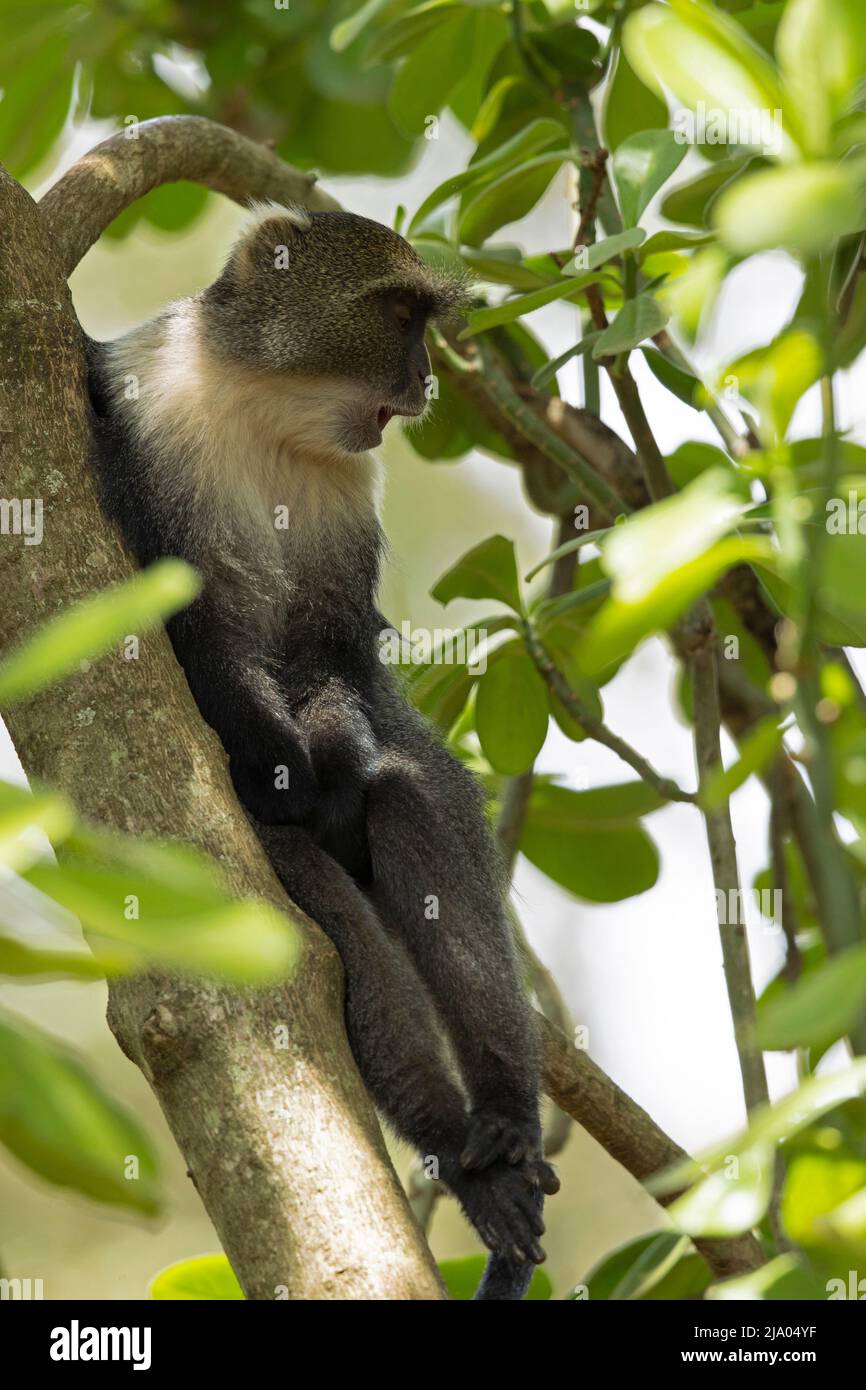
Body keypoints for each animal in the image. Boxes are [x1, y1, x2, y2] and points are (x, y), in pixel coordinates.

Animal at [84, 203, 559, 1300]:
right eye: (397, 316)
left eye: (425, 324)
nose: (426, 381)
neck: (263, 407)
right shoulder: (139, 426)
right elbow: (193, 630)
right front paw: (287, 772)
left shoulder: (344, 507)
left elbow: (330, 647)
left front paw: (334, 757)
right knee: (323, 919)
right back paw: (455, 1143)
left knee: (413, 802)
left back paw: (502, 1134)